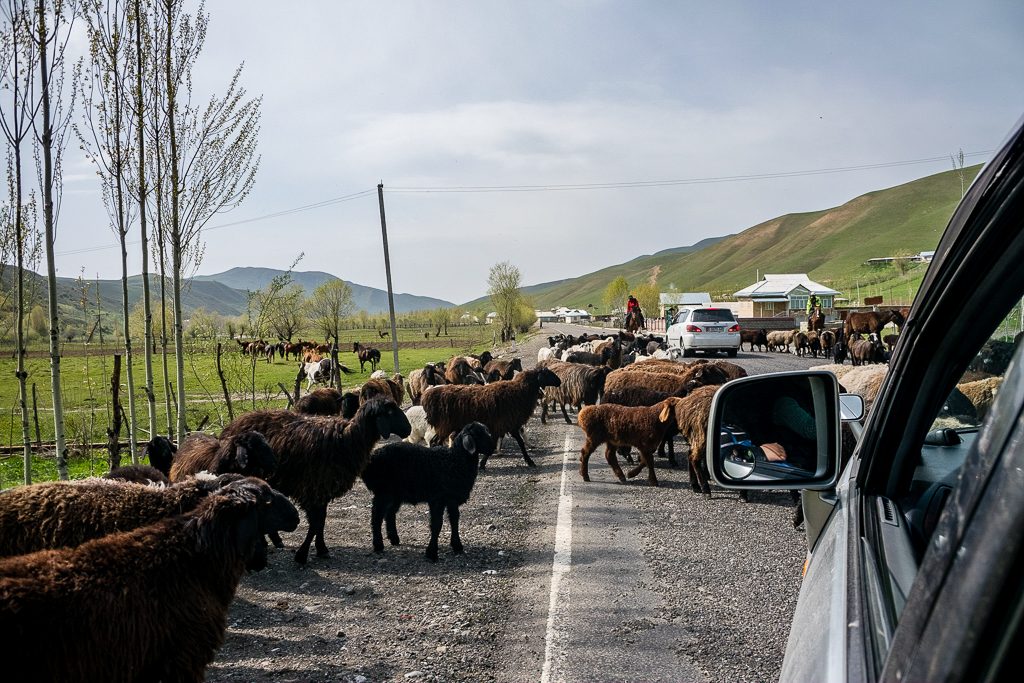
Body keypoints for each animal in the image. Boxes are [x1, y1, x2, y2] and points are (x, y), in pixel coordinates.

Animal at [220, 397, 411, 565]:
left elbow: (321, 522)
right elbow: (315, 524)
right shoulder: (312, 490)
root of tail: (233, 425)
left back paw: (274, 540)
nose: (408, 429)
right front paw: (302, 555)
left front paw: (321, 549)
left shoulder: (323, 490)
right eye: (390, 411)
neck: (348, 440)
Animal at [362, 421, 497, 561]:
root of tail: (372, 459)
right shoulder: (437, 499)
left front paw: (457, 545)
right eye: (479, 434)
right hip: (383, 492)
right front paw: (432, 552)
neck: (455, 460)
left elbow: (454, 521)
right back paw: (378, 545)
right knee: (376, 516)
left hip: (396, 494)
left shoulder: (452, 499)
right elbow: (437, 524)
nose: (493, 448)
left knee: (390, 514)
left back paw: (394, 539)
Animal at [419, 368, 561, 471]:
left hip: (445, 426)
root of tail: (428, 396)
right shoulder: (505, 424)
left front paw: (529, 460)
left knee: (434, 442)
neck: (520, 391)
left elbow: (519, 443)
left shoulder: (508, 425)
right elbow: (497, 445)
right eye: (547, 373)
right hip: (444, 425)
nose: (559, 381)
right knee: (435, 443)